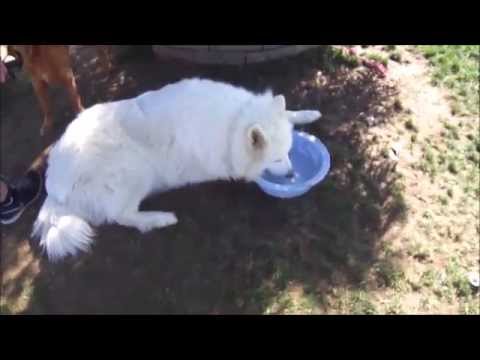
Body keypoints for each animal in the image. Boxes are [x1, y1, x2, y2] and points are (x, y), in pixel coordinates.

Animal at [31, 79, 320, 260]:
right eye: (277, 160)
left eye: (289, 153)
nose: (292, 175)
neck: (234, 122)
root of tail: (53, 184)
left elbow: (291, 115)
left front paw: (307, 114)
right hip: (135, 168)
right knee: (121, 215)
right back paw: (159, 218)